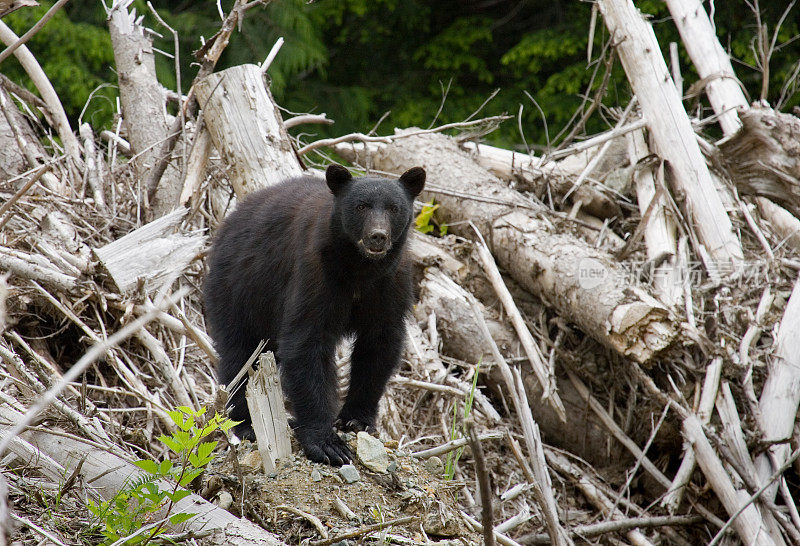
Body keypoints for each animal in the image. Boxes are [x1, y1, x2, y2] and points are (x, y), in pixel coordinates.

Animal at [205, 163, 424, 464]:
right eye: (361, 206)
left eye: (393, 207)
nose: (377, 236)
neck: (360, 270)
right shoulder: (315, 274)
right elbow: (307, 343)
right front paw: (327, 443)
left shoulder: (389, 286)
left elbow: (379, 344)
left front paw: (357, 419)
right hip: (239, 289)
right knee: (238, 353)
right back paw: (245, 423)